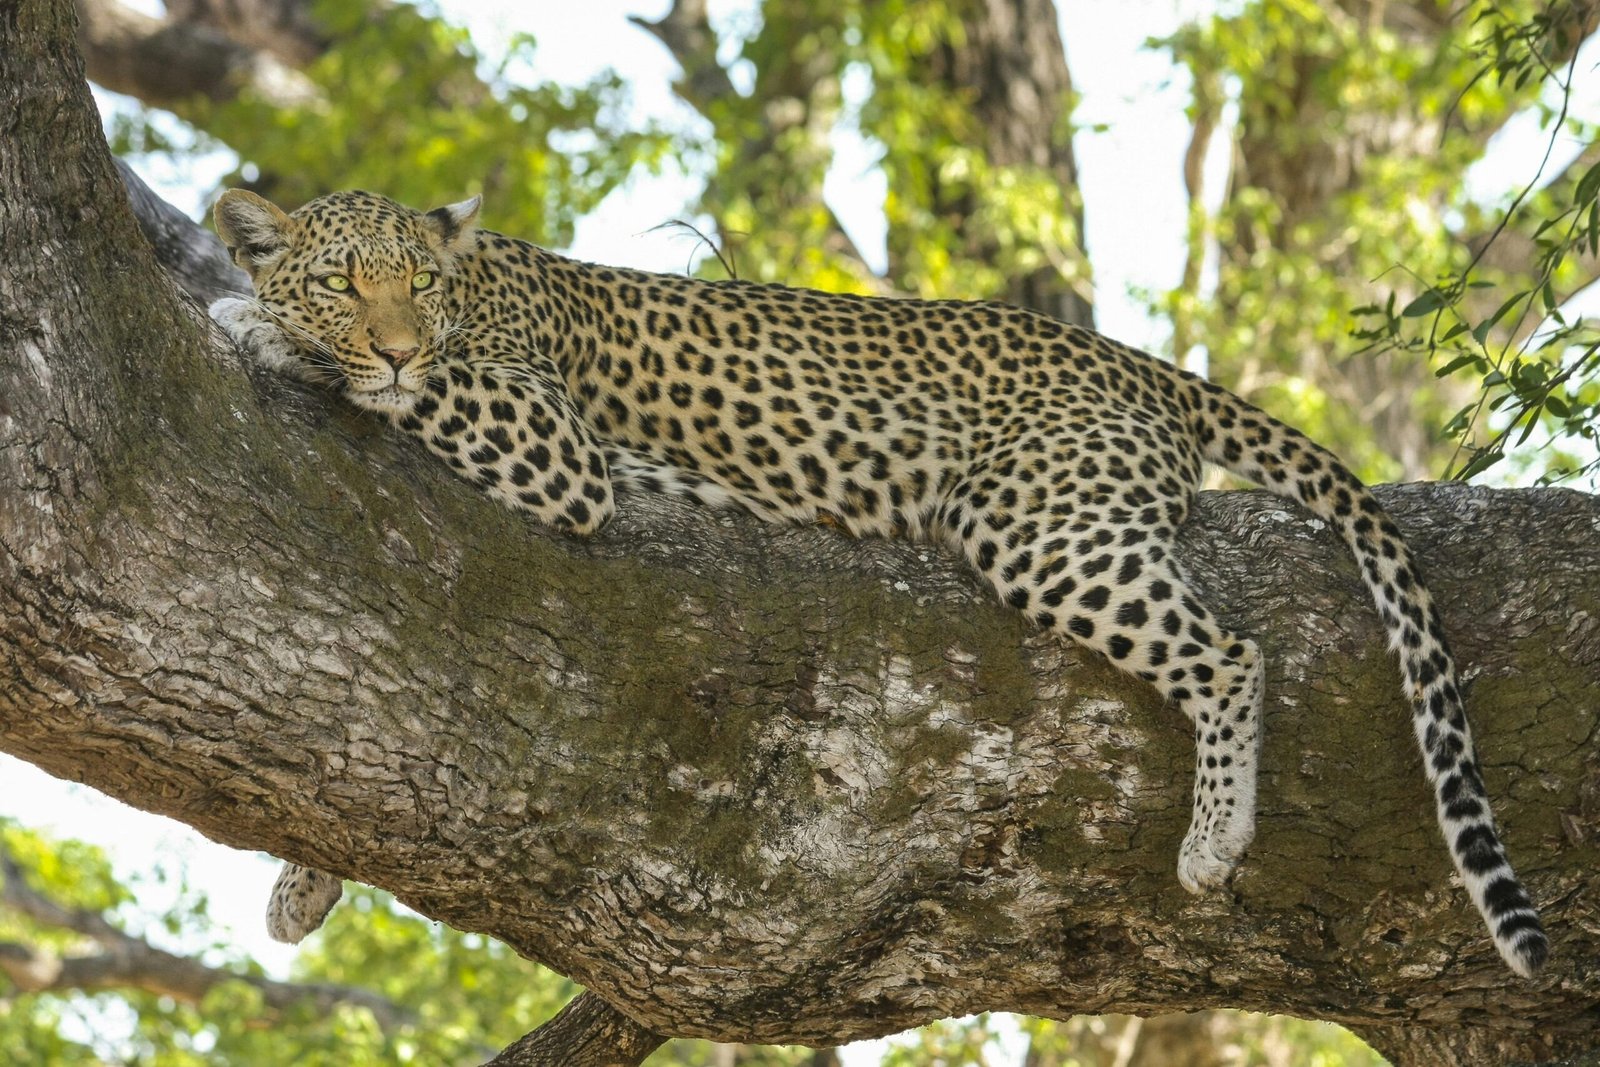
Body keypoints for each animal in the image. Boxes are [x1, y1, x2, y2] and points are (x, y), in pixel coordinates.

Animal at [208, 187, 1547, 977]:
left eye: (417, 286)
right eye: (346, 279)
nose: (391, 338)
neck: (478, 285)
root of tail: (1129, 359)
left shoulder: (553, 445)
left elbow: (425, 387)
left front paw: (252, 322)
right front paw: (302, 881)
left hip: (1035, 518)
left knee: (1228, 653)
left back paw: (1215, 837)